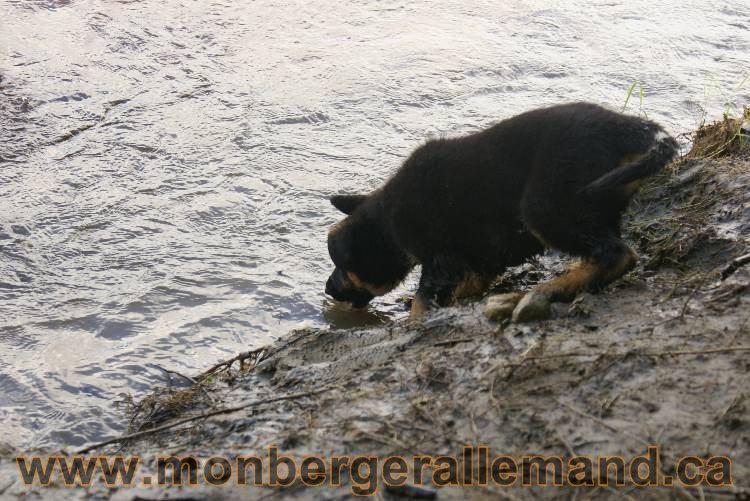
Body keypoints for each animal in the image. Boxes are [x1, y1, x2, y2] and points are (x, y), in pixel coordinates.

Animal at [326, 102, 680, 320]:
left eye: (344, 266)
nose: (328, 289)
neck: (386, 221)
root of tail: (622, 127)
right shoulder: (481, 261)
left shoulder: (440, 258)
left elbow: (422, 300)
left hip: (546, 208)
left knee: (618, 255)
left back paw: (552, 289)